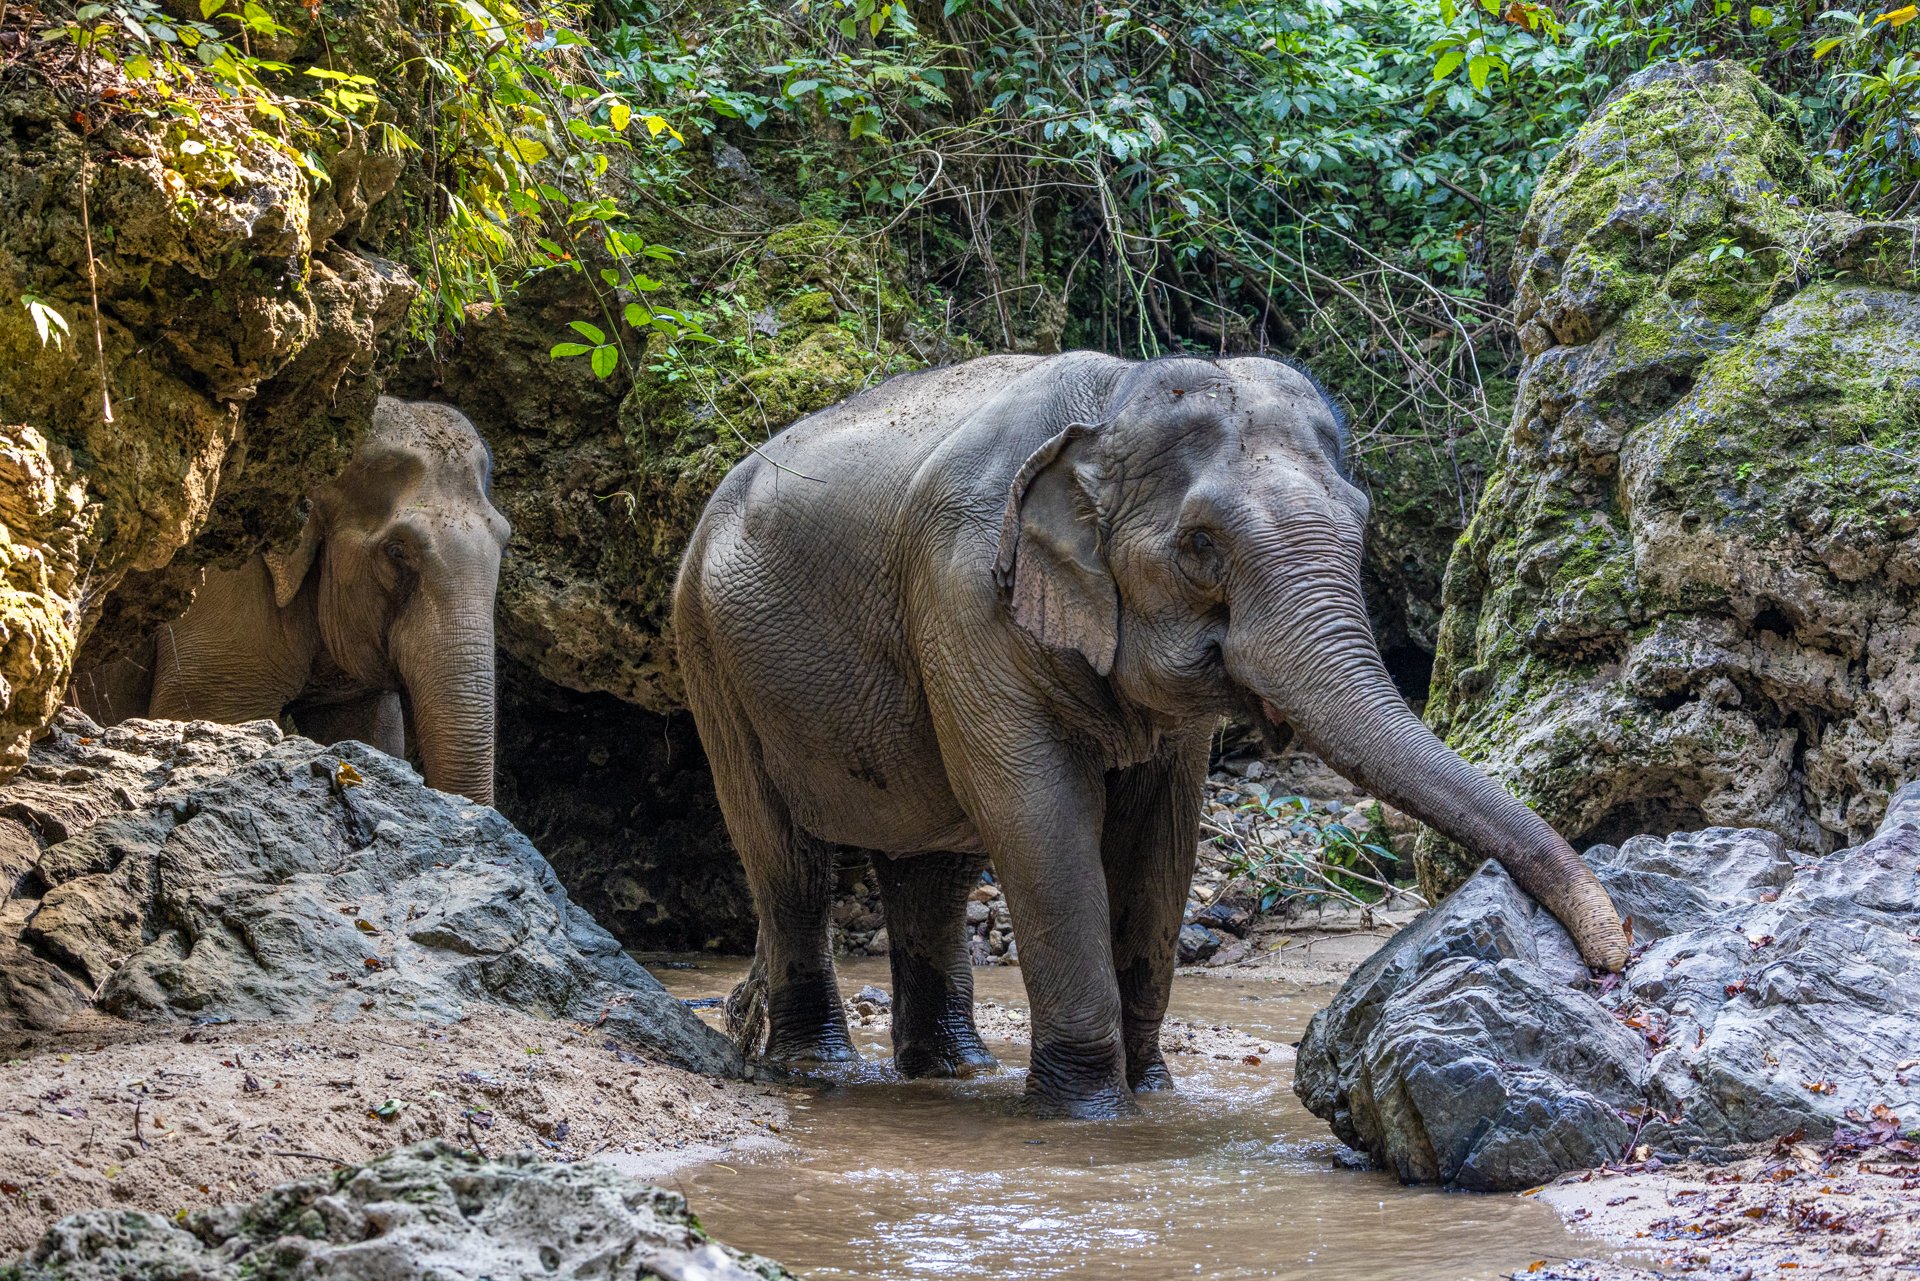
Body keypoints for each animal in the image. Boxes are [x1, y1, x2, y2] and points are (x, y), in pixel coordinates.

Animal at [679, 353, 1635, 1121]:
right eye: (1201, 544)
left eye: (1360, 524)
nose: (1612, 959)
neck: (1112, 401)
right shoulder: (964, 595)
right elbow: (1037, 816)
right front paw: (1089, 1117)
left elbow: (1161, 836)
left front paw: (1153, 1093)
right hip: (710, 656)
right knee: (791, 866)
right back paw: (818, 1068)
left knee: (935, 870)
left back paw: (951, 1071)